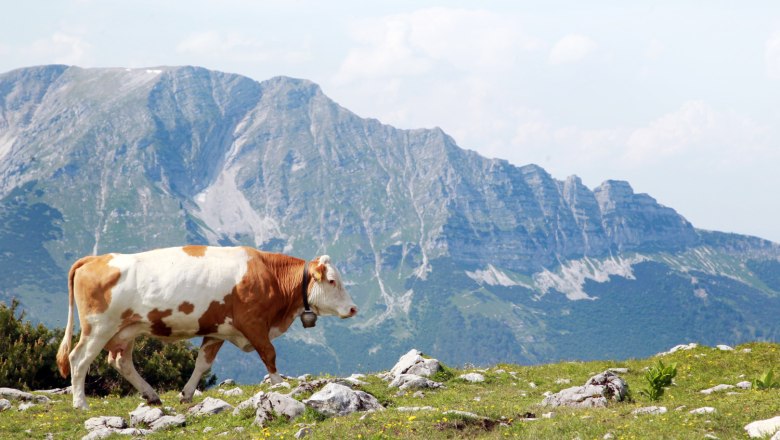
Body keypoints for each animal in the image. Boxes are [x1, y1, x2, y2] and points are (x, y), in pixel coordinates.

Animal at [56, 246, 358, 410]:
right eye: (332, 281)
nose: (353, 308)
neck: (269, 276)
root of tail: (95, 259)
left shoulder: (216, 331)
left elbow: (203, 363)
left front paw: (186, 394)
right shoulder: (253, 323)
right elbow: (269, 354)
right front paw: (280, 386)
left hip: (126, 330)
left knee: (121, 361)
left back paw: (151, 395)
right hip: (98, 327)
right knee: (78, 359)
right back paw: (81, 404)